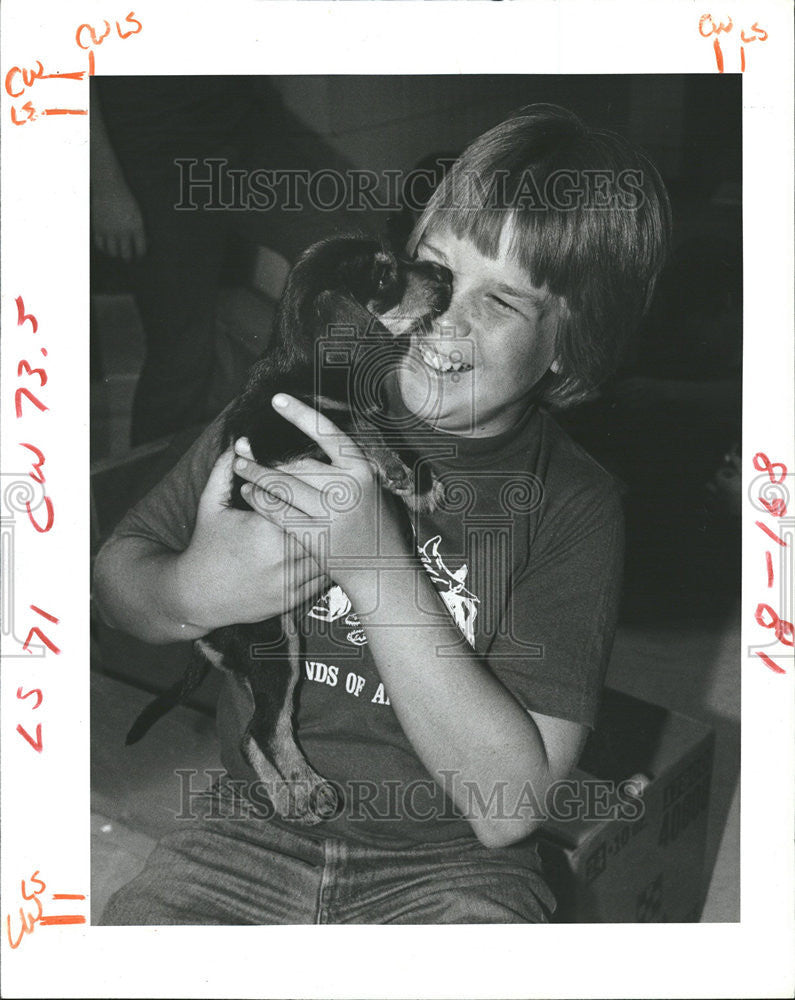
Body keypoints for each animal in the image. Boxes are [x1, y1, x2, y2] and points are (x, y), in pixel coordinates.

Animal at [128, 232, 458, 820]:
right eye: (384, 275)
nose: (445, 276)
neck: (308, 364)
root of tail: (203, 638)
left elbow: (369, 421)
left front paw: (416, 483)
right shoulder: (283, 441)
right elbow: (356, 423)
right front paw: (402, 476)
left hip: (274, 654)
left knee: (259, 733)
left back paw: (293, 794)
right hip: (274, 647)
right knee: (262, 730)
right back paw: (301, 790)